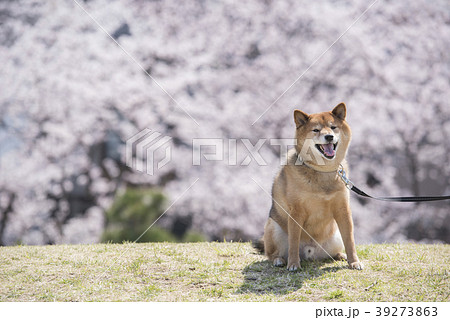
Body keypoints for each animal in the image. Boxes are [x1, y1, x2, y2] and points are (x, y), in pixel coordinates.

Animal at [256, 102, 362, 270]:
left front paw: (354, 261)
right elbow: (294, 241)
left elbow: (350, 240)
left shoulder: (343, 209)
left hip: (336, 236)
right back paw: (280, 260)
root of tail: (310, 252)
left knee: (332, 253)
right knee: (272, 254)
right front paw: (293, 264)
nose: (329, 136)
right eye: (316, 130)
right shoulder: (296, 211)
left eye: (333, 127)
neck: (322, 171)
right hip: (274, 228)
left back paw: (340, 255)